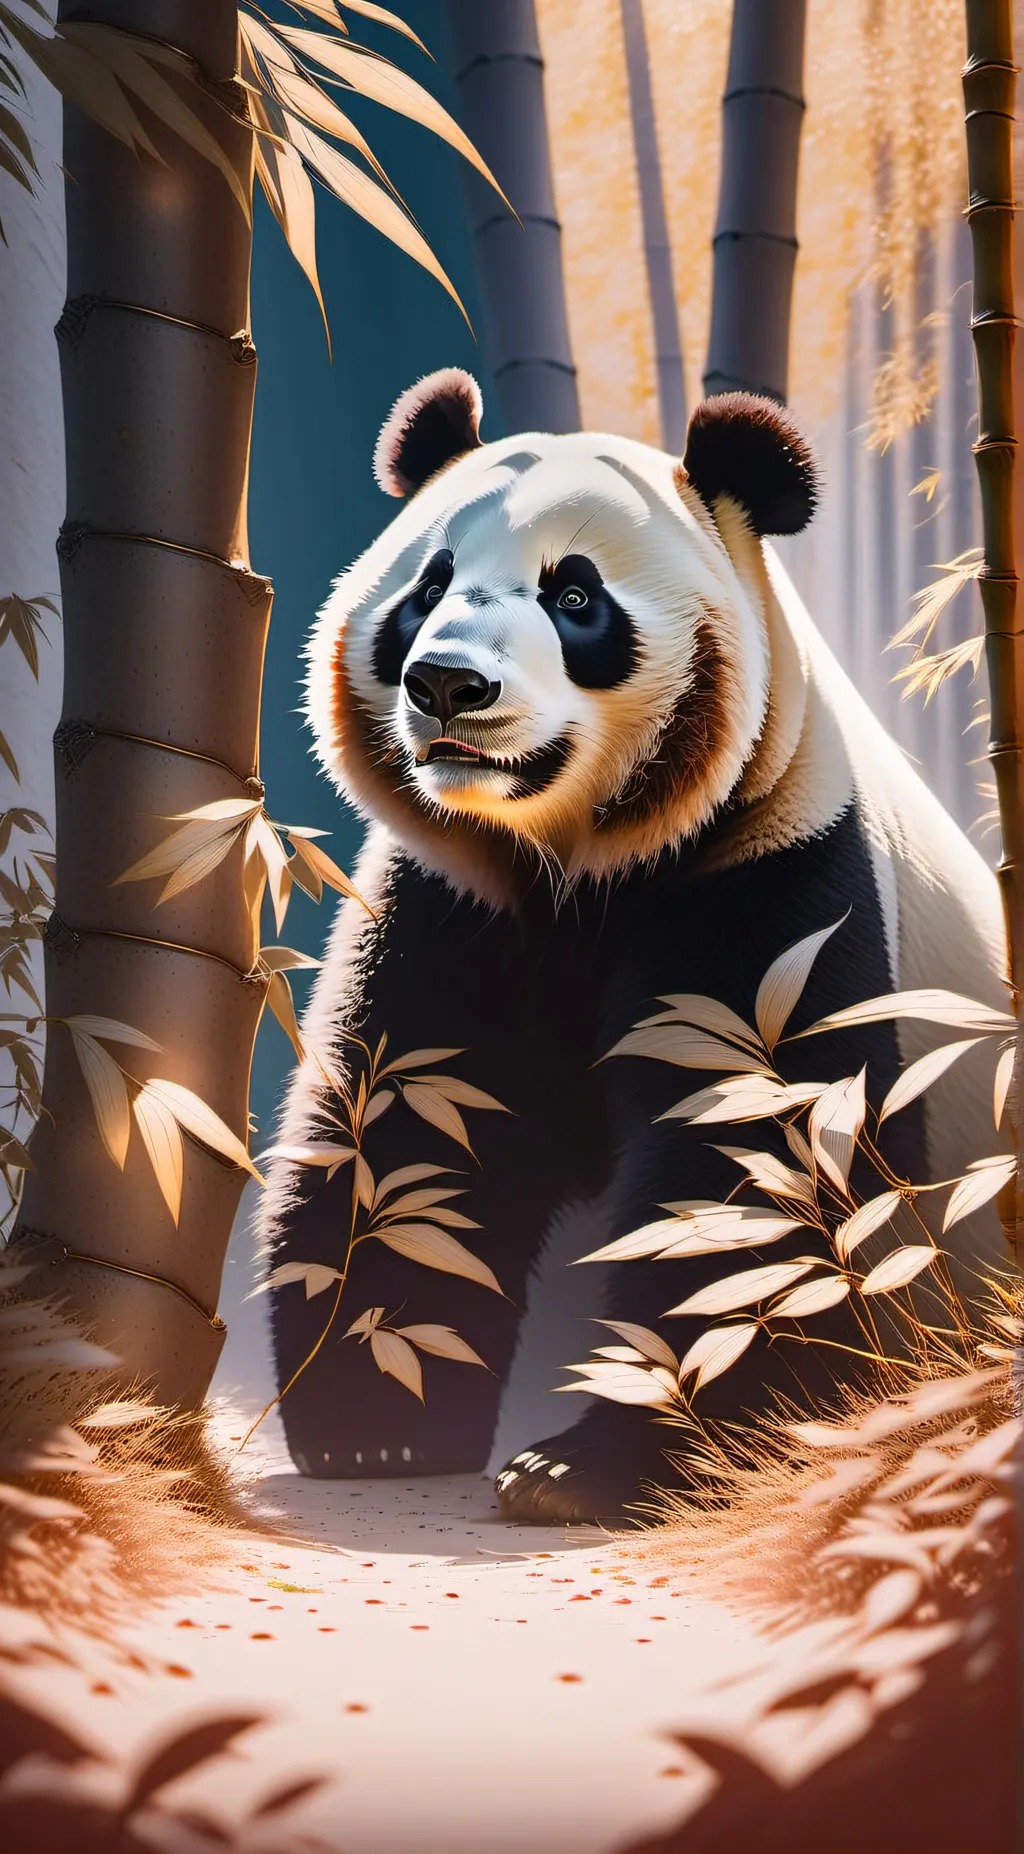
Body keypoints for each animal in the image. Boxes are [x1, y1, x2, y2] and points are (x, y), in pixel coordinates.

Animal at [258, 368, 1008, 1525]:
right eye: (427, 589)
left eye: (575, 599)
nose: (448, 686)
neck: (572, 862)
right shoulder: (454, 903)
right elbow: (410, 1123)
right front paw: (375, 1417)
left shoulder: (775, 867)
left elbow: (756, 1170)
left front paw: (593, 1466)